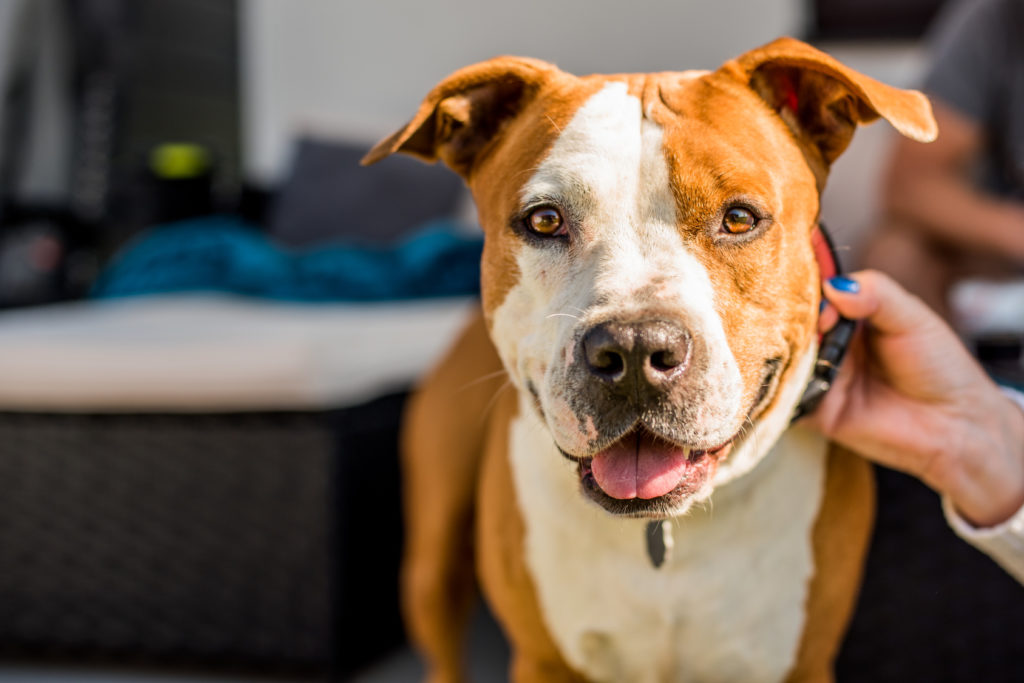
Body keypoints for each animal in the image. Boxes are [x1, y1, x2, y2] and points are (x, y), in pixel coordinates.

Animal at [360, 38, 937, 683]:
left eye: (740, 218)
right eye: (544, 220)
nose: (635, 348)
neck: (662, 535)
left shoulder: (800, 664)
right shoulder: (543, 660)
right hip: (431, 565)